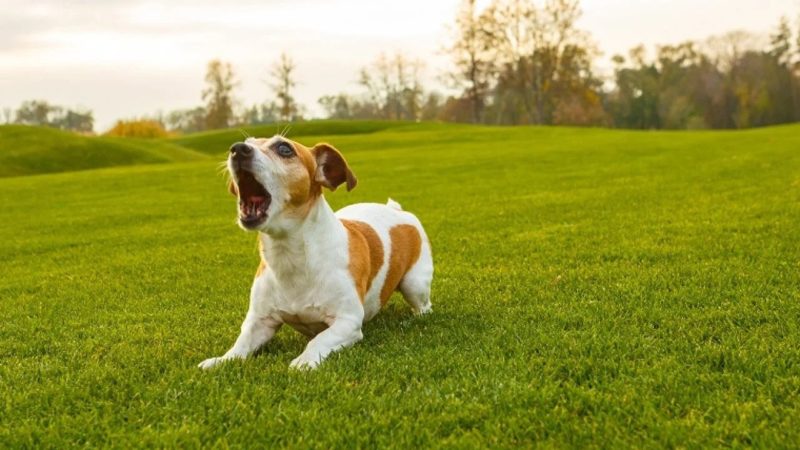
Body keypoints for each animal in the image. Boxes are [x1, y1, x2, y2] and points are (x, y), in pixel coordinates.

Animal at [200, 136, 434, 370]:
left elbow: (319, 340)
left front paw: (304, 361)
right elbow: (241, 343)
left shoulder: (347, 322)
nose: (238, 149)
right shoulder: (260, 321)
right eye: (247, 141)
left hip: (414, 284)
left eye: (284, 149)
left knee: (424, 307)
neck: (290, 256)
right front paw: (222, 360)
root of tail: (398, 211)